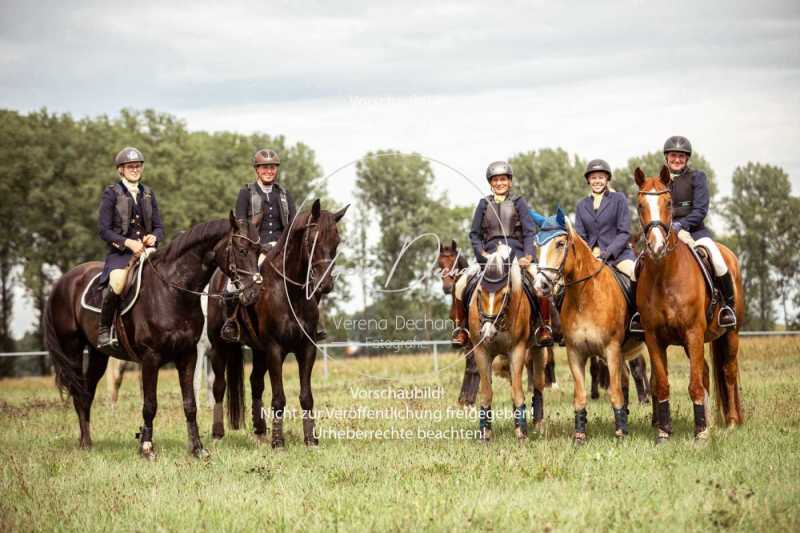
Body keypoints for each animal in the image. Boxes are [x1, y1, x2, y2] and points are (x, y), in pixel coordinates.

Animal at [43, 214, 262, 460]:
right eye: (242, 250)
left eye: (259, 250)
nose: (254, 294)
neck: (173, 291)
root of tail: (63, 281)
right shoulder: (151, 358)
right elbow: (149, 405)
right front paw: (147, 448)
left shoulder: (188, 355)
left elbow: (190, 403)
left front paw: (197, 448)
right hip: (72, 350)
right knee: (79, 392)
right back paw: (84, 443)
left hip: (98, 354)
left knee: (86, 392)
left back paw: (88, 443)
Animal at [206, 202, 346, 446]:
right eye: (312, 240)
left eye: (336, 242)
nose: (325, 284)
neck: (290, 293)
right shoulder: (274, 349)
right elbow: (279, 397)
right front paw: (278, 442)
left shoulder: (306, 349)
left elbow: (306, 396)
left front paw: (311, 439)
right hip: (219, 347)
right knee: (219, 386)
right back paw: (218, 434)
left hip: (259, 351)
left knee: (255, 383)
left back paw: (260, 431)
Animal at [468, 243, 544, 438]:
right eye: (480, 291)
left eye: (505, 293)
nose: (487, 331)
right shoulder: (481, 352)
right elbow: (486, 392)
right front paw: (485, 433)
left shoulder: (517, 350)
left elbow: (518, 392)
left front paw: (521, 433)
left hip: (538, 349)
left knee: (538, 385)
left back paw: (537, 424)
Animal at [532, 207, 644, 440]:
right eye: (537, 245)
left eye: (560, 243)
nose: (541, 285)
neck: (586, 297)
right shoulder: (575, 352)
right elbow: (580, 396)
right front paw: (579, 435)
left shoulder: (611, 350)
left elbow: (614, 393)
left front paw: (620, 435)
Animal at [636, 166, 748, 440]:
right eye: (640, 205)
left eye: (668, 203)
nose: (656, 247)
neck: (664, 275)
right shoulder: (654, 338)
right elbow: (662, 384)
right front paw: (664, 432)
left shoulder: (693, 333)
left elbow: (695, 384)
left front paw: (700, 435)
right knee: (707, 372)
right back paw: (710, 421)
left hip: (730, 333)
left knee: (727, 371)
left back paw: (730, 422)